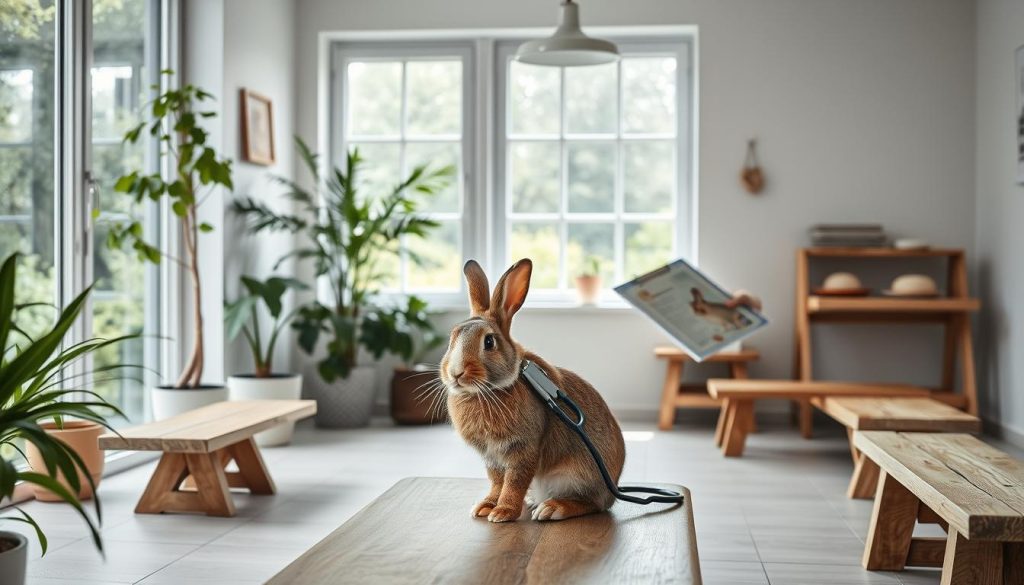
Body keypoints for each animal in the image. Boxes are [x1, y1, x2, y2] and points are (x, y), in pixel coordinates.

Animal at [440, 258, 622, 524]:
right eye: (452, 339)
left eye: (489, 342)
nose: (456, 373)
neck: (488, 391)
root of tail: (613, 490)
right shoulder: (492, 459)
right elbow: (497, 482)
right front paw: (485, 506)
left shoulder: (523, 449)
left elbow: (514, 482)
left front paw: (503, 512)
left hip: (576, 476)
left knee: (590, 503)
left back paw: (553, 508)